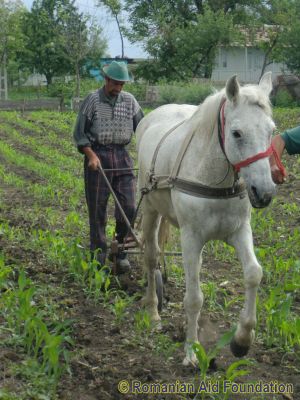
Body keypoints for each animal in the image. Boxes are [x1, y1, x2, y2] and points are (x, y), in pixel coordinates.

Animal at [136, 72, 276, 366]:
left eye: (271, 131)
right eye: (237, 133)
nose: (265, 192)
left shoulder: (239, 231)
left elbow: (253, 274)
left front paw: (242, 339)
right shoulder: (191, 238)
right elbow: (193, 298)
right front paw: (191, 350)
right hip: (151, 210)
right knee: (151, 257)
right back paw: (153, 312)